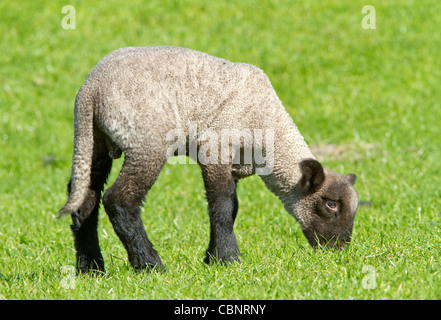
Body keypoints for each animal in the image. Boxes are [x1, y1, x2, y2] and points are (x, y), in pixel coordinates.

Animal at [58, 45, 360, 272]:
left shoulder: (234, 165)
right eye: (331, 204)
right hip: (146, 142)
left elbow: (232, 207)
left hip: (94, 140)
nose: (338, 250)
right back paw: (149, 265)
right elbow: (222, 205)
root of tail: (91, 89)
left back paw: (91, 268)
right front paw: (229, 259)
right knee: (119, 200)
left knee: (85, 199)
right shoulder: (215, 147)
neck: (268, 129)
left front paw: (212, 258)